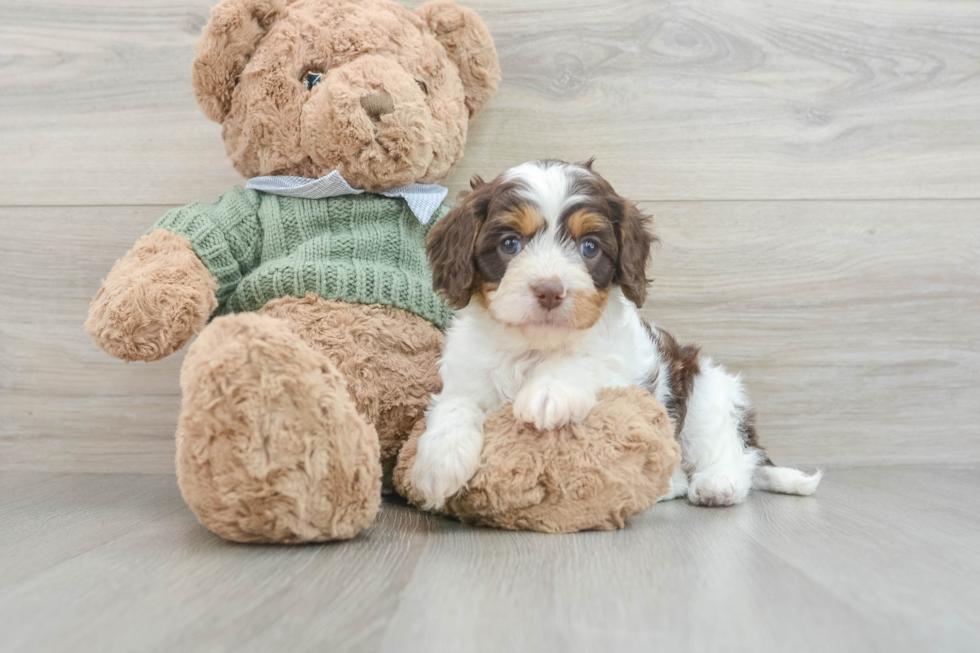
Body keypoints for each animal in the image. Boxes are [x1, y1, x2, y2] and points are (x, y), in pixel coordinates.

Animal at [410, 158, 824, 510]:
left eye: (589, 247)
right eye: (510, 243)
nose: (549, 290)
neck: (535, 347)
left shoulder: (626, 370)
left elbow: (585, 363)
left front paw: (548, 392)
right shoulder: (467, 375)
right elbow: (455, 404)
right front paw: (439, 462)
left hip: (704, 391)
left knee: (735, 455)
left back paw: (717, 485)